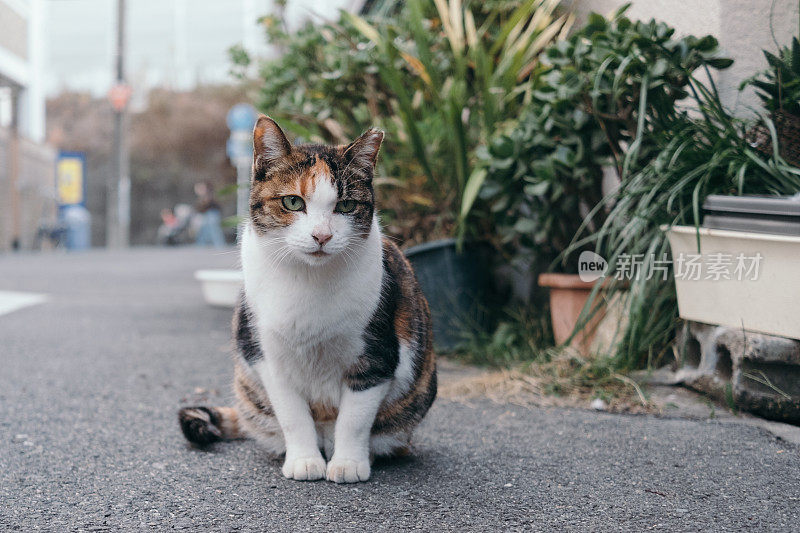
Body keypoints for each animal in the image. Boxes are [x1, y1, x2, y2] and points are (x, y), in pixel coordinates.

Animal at [178, 115, 438, 482]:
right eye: (292, 202)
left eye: (346, 205)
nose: (322, 235)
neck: (308, 281)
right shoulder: (268, 359)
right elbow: (293, 416)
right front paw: (304, 460)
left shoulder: (376, 356)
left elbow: (355, 419)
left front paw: (348, 464)